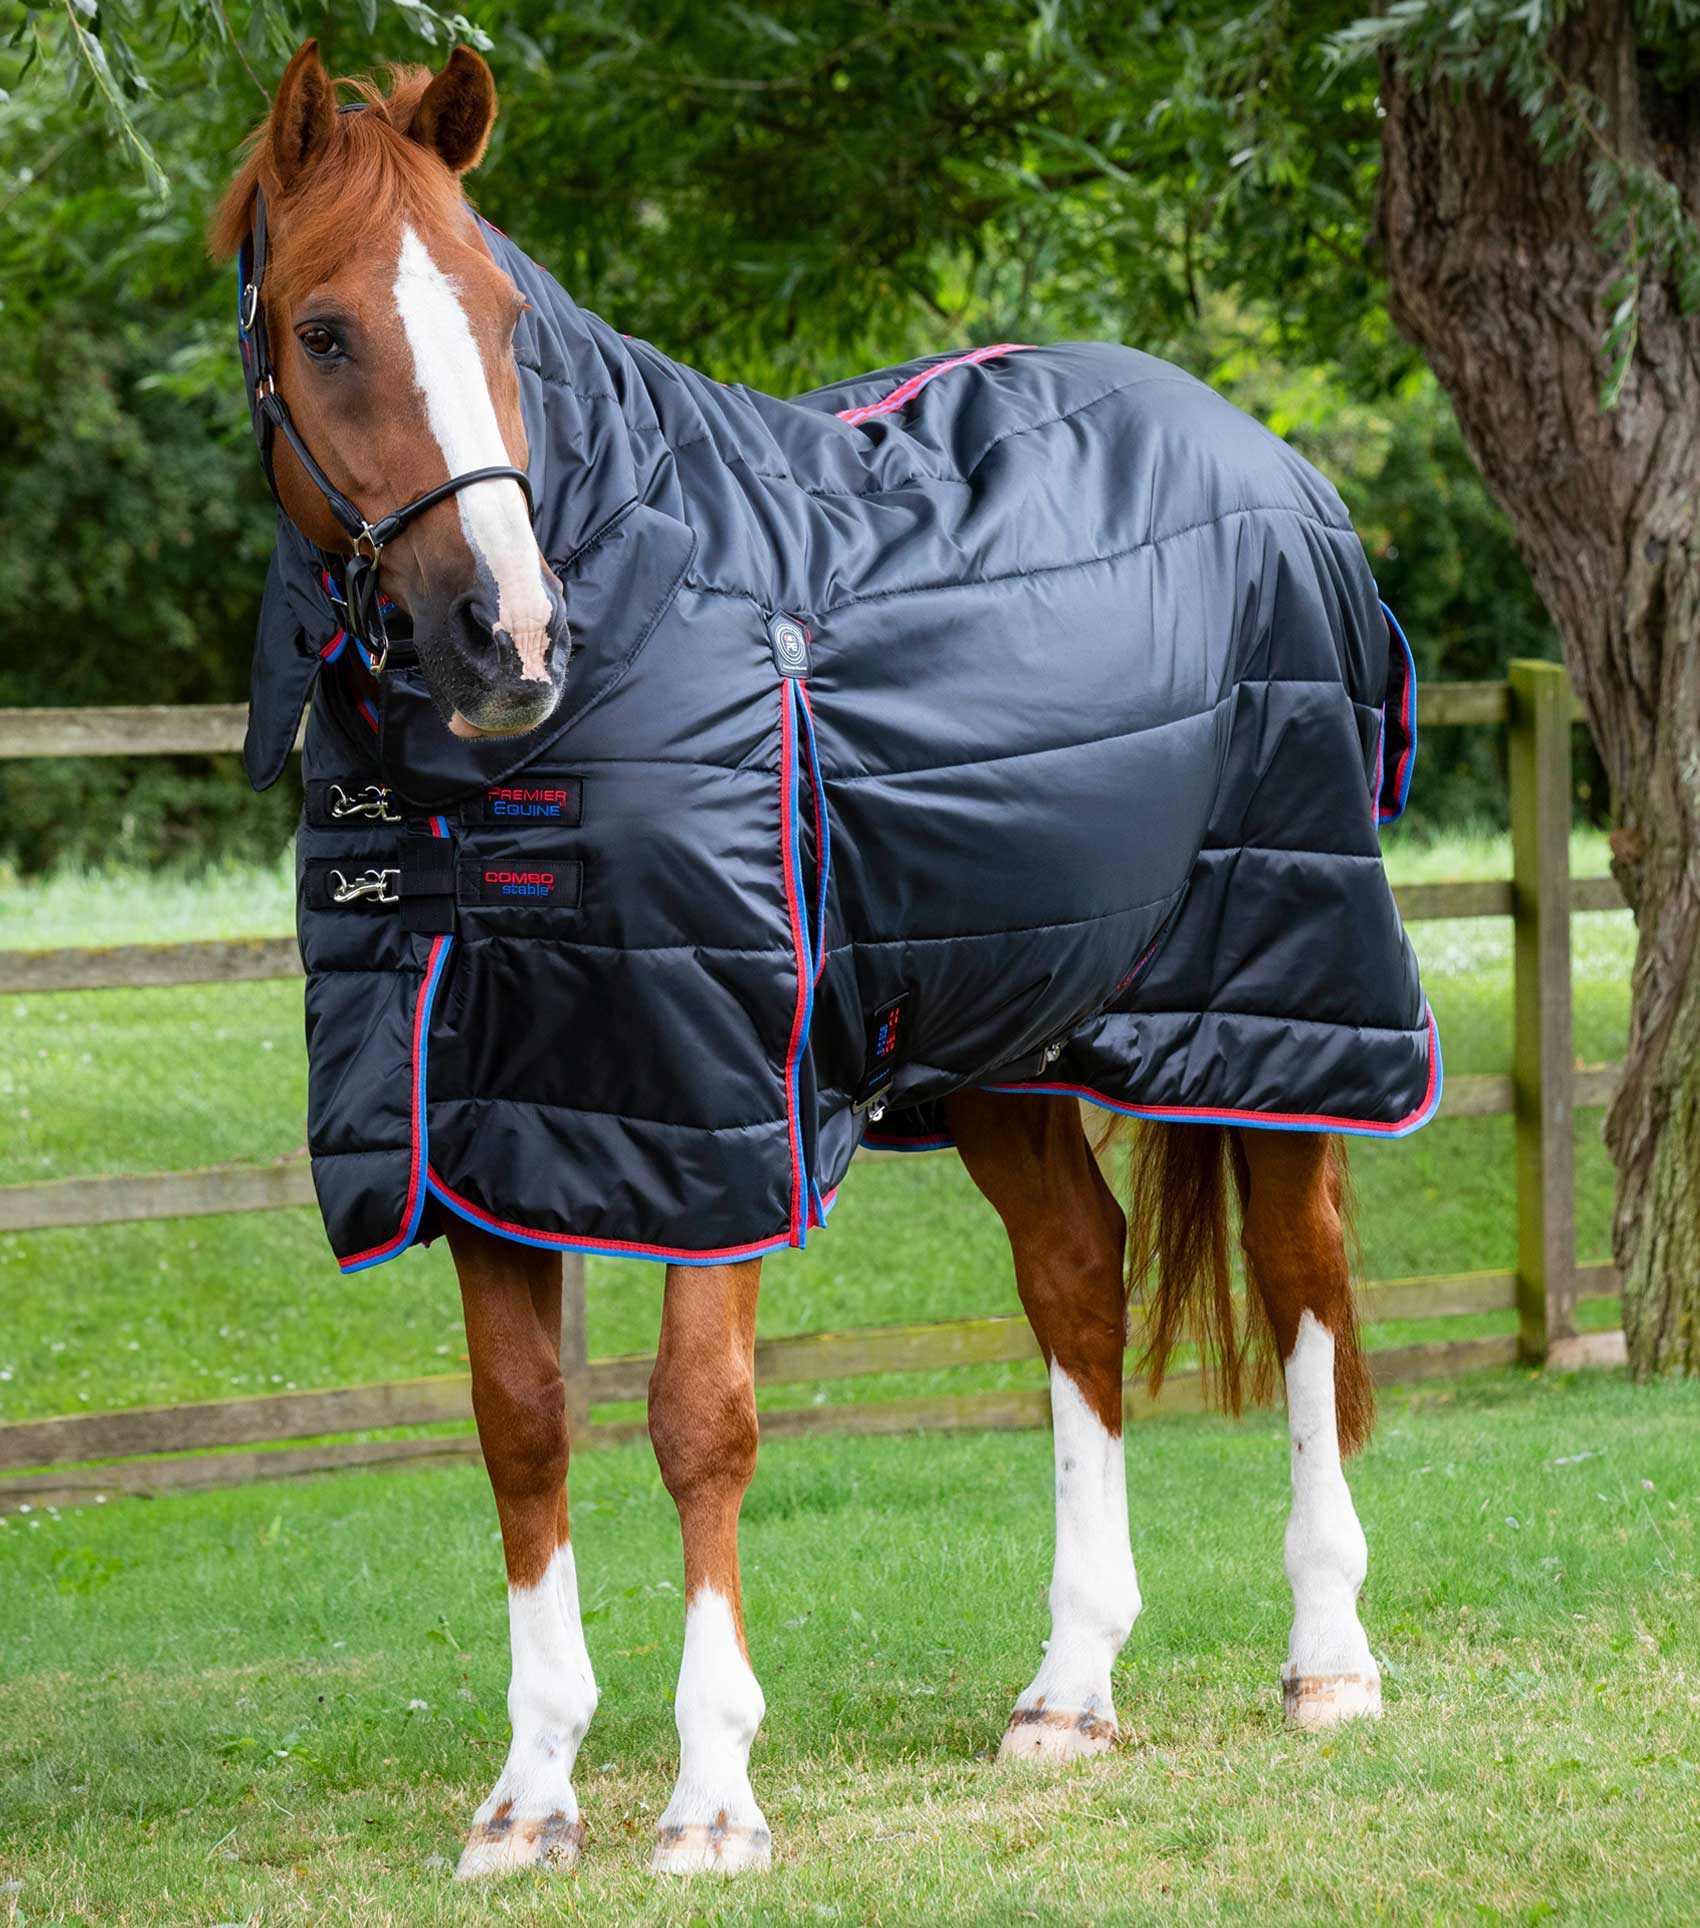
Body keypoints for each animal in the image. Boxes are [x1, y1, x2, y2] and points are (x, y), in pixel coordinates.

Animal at [212, 41, 1413, 1877]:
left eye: (501, 314)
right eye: (327, 329)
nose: (510, 635)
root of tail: (1275, 467)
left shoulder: (723, 1100)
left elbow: (700, 1418)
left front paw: (712, 1794)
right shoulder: (480, 1122)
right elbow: (520, 1425)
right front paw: (528, 1797)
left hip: (1284, 999)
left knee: (1303, 1283)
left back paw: (1330, 1659)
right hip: (1003, 1031)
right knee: (1080, 1279)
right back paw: (1069, 1691)